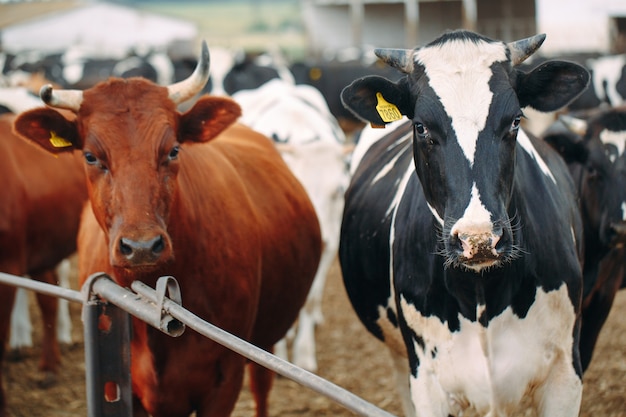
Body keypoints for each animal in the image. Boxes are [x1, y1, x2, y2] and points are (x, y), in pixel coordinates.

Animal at [14, 41, 320, 416]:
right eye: (90, 156)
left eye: (173, 150)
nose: (142, 246)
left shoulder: (224, 383)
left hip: (265, 340)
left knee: (262, 386)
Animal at [234, 79, 352, 370]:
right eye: (294, 188)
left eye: (339, 190)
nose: (318, 237)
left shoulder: (330, 243)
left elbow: (308, 300)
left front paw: (304, 354)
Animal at [338, 30, 588, 416]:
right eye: (421, 126)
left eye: (515, 120)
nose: (479, 239)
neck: (481, 295)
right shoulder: (427, 381)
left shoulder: (565, 374)